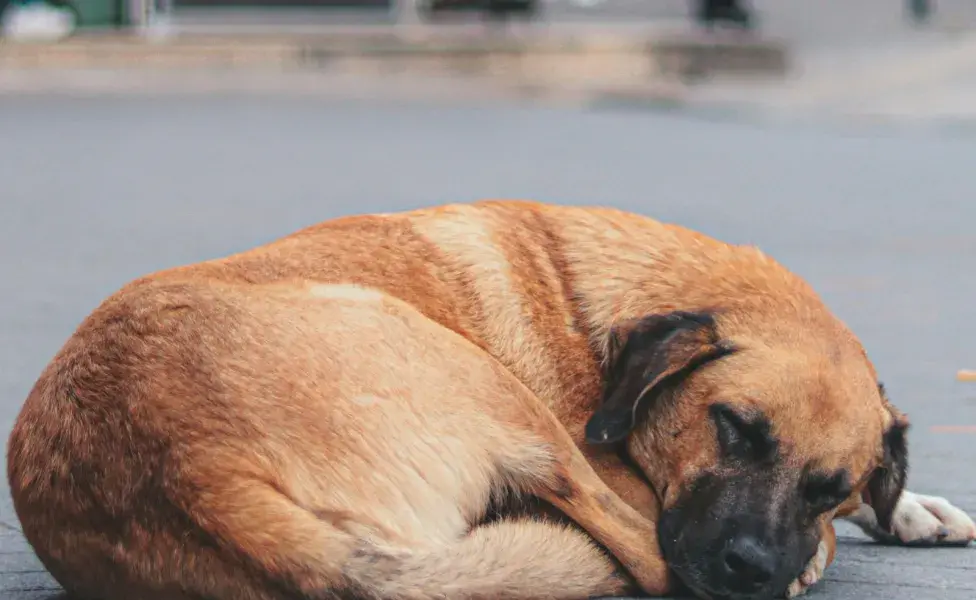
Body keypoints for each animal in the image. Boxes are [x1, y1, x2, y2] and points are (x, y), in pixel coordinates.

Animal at [7, 202, 976, 600]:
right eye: (732, 428)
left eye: (829, 487)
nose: (749, 569)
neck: (587, 309)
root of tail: (199, 471)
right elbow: (658, 543)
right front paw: (827, 552)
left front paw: (910, 507)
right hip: (494, 390)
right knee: (640, 557)